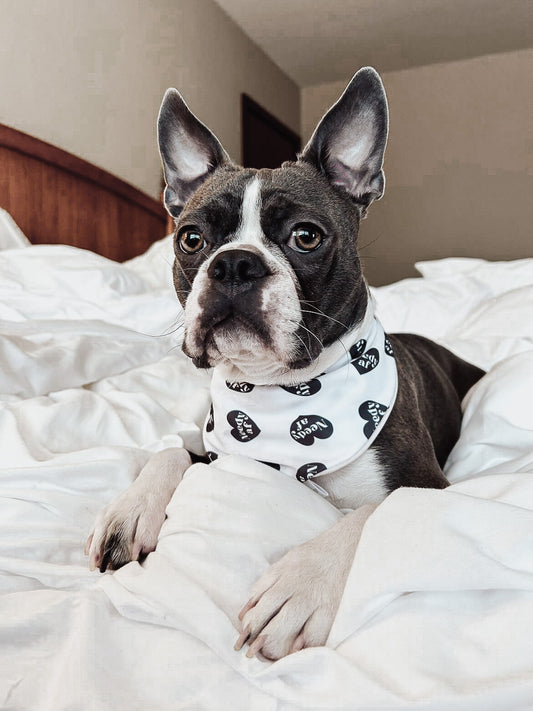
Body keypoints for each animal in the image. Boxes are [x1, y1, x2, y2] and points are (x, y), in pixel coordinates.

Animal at [85, 67, 484, 660]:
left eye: (306, 236)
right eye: (191, 239)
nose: (234, 264)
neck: (282, 394)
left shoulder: (429, 485)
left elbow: (372, 512)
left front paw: (301, 585)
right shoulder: (218, 447)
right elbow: (171, 448)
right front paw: (128, 510)